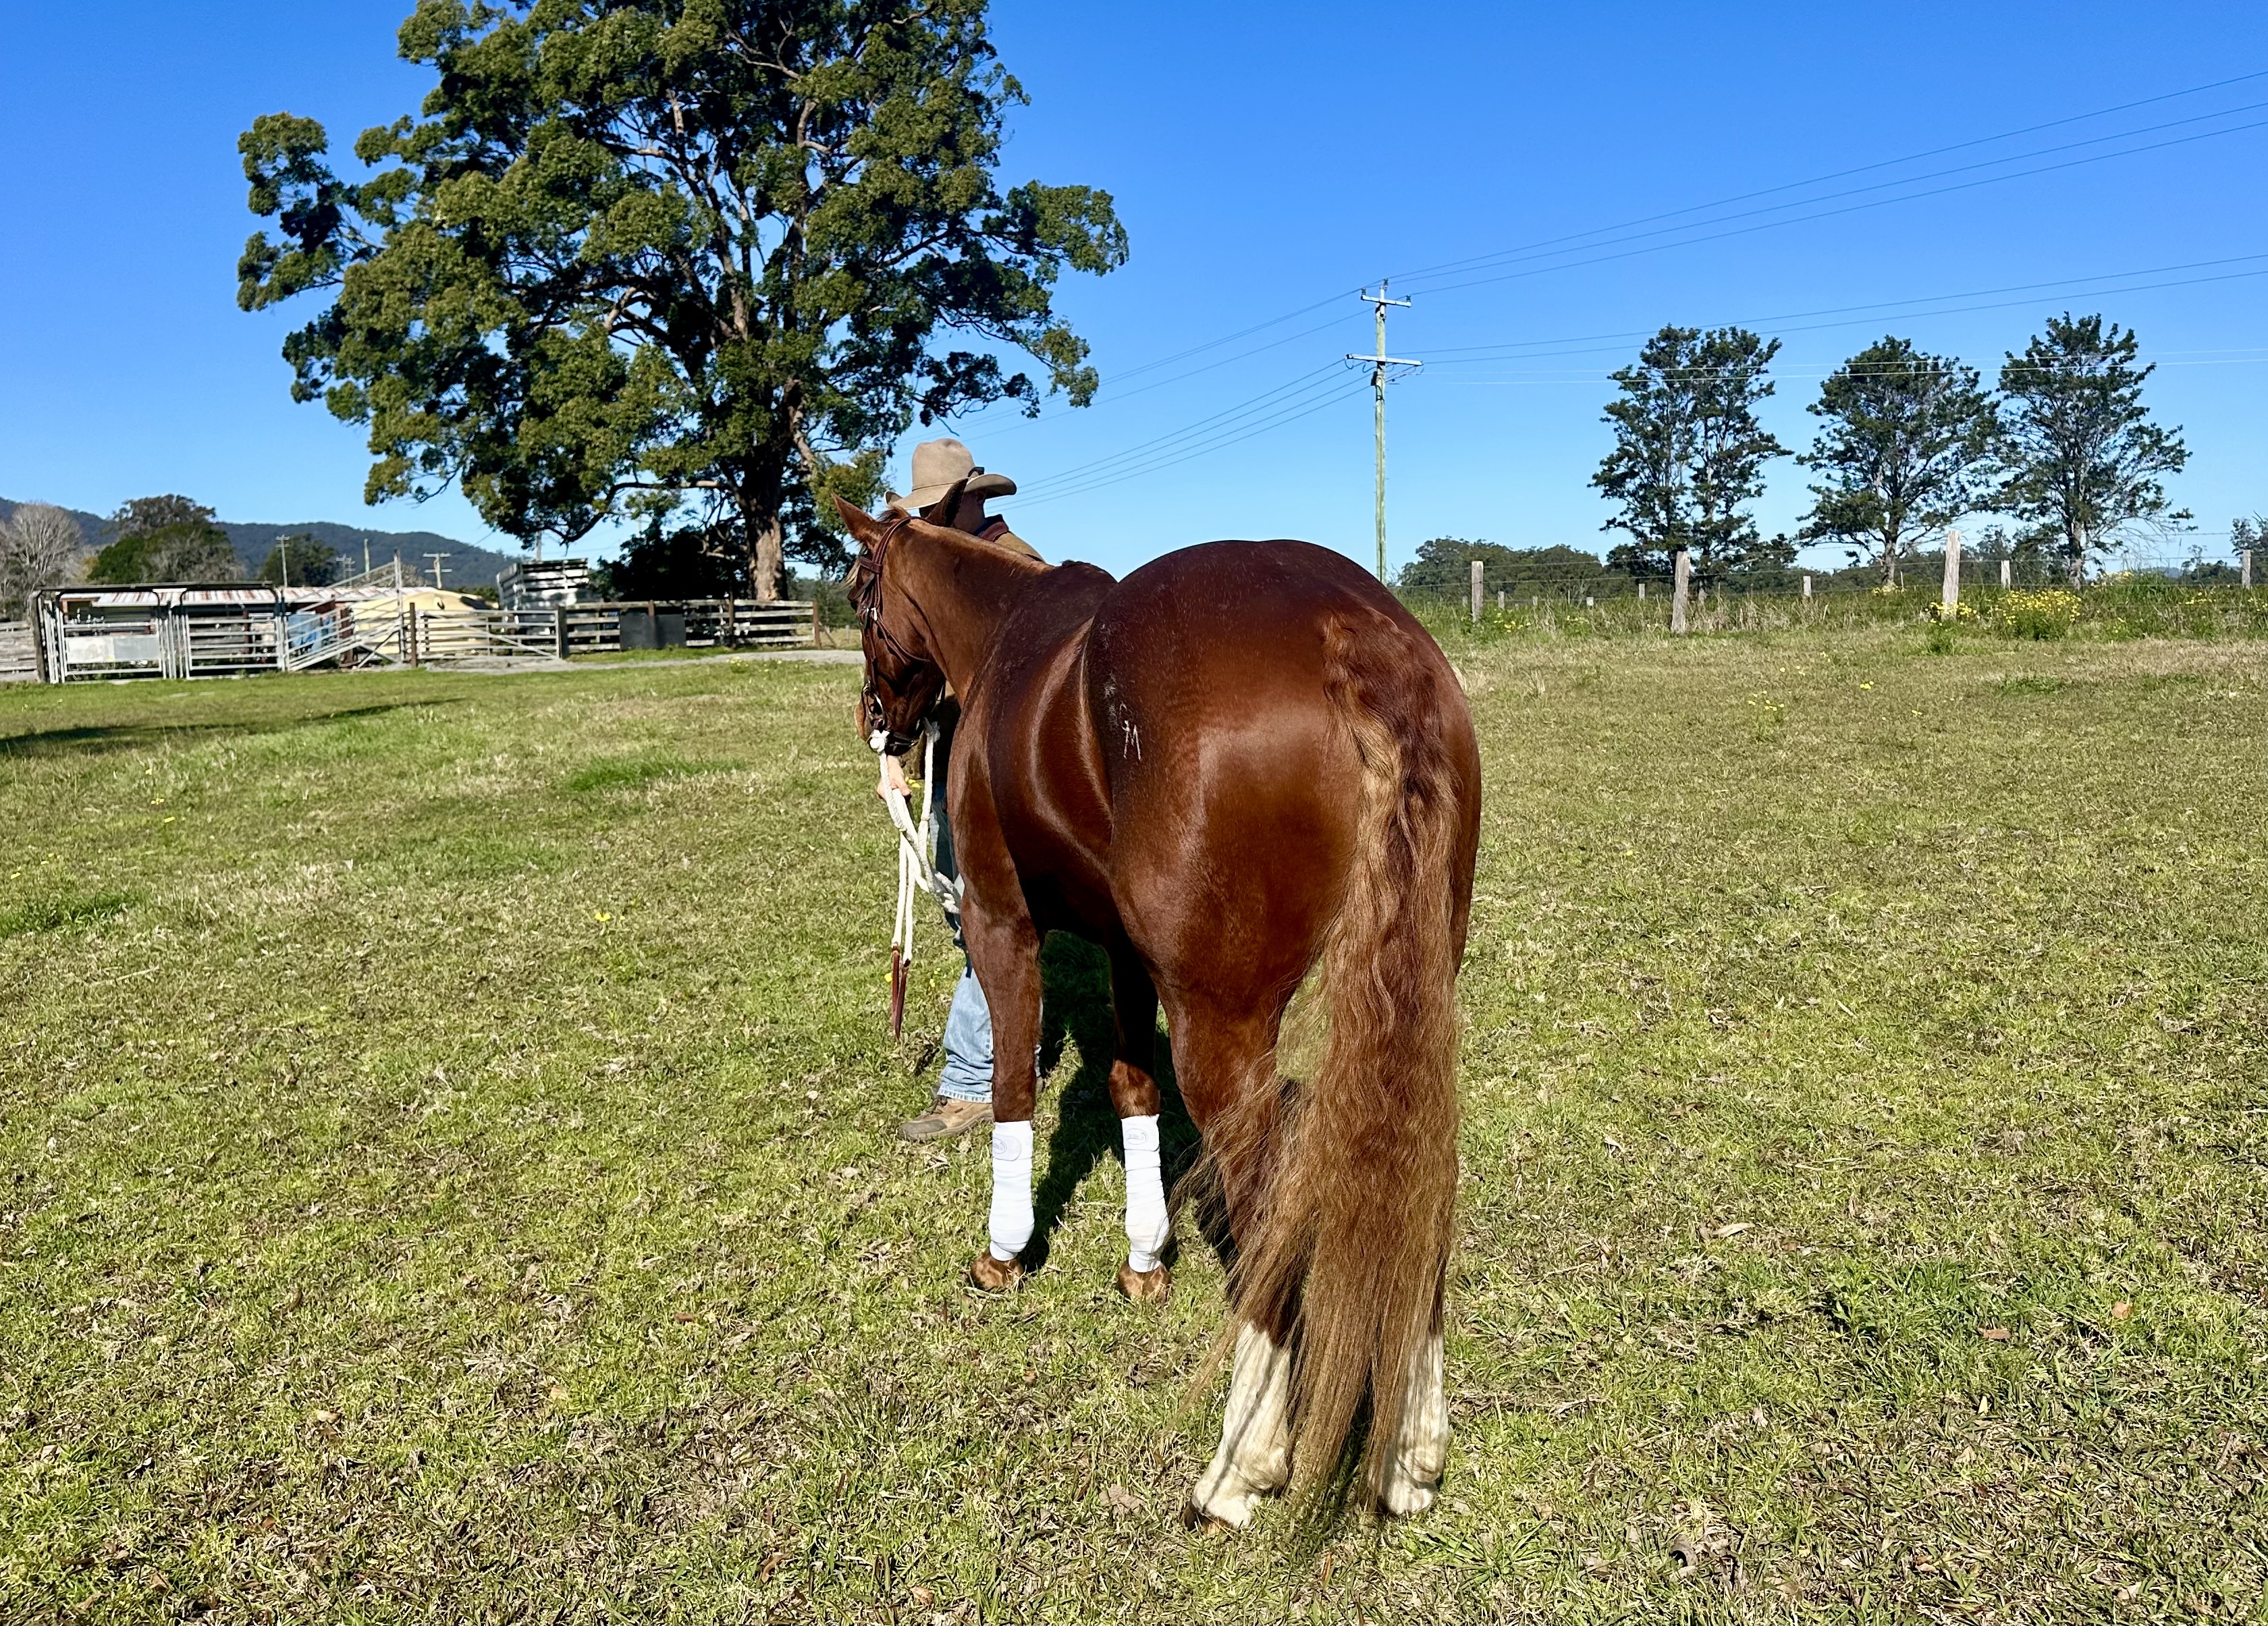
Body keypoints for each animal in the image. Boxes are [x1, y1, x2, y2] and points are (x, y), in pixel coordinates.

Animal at [838, 491, 1482, 1524]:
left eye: (863, 593)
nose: (877, 718)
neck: (1008, 641)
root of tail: (1351, 630)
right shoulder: (1126, 952)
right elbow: (1132, 1088)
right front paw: (1145, 1259)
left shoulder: (1000, 919)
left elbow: (1016, 1084)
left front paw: (1004, 1250)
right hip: (1415, 996)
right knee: (1422, 1179)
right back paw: (1411, 1452)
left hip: (1225, 1032)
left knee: (1269, 1199)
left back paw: (1242, 1461)